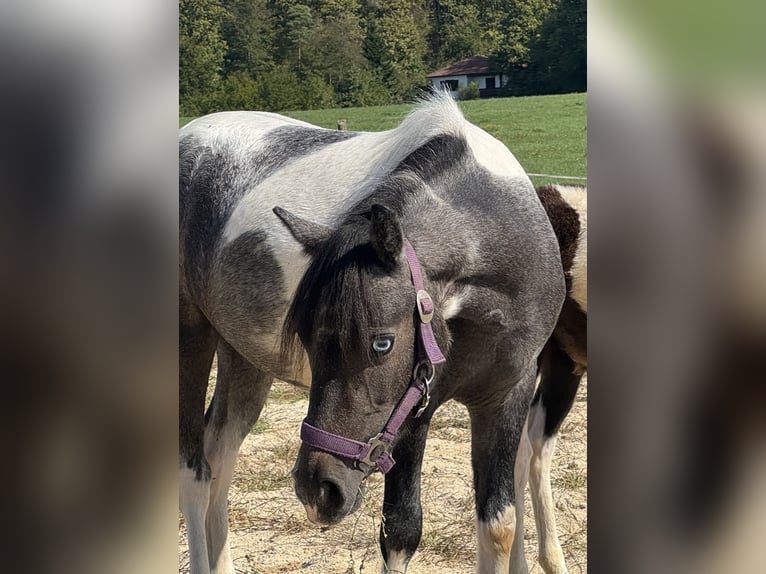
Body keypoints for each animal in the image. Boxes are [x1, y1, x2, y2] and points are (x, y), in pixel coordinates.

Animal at [179, 92, 566, 574]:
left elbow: (499, 524)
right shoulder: (417, 412)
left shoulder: (506, 396)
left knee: (220, 455)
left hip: (245, 361)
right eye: (305, 338)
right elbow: (400, 532)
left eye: (382, 343)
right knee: (194, 473)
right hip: (191, 340)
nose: (318, 490)